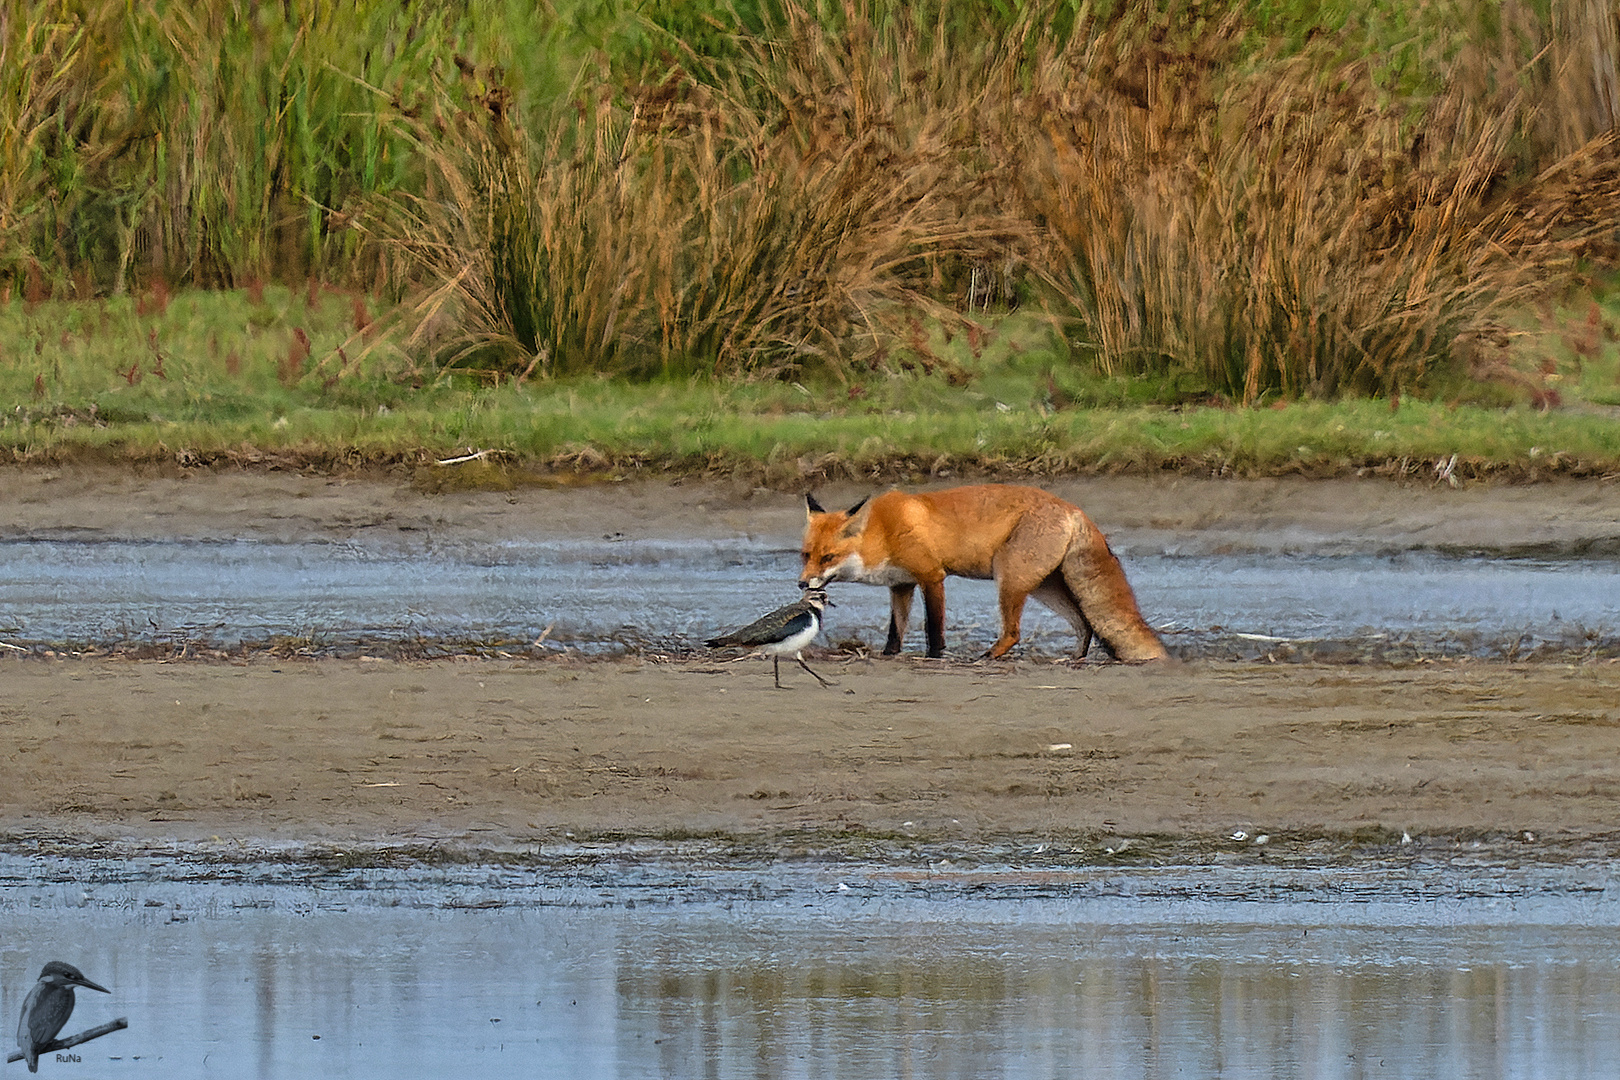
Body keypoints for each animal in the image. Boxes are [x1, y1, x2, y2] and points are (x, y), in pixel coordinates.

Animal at [797, 485, 1166, 663]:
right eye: (806, 555)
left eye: (828, 557)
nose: (801, 583)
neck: (884, 531)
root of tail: (1073, 508)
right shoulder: (901, 585)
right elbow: (895, 632)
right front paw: (889, 655)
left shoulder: (931, 576)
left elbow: (934, 628)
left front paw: (934, 657)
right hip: (1044, 588)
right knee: (1085, 623)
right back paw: (1074, 658)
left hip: (1009, 580)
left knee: (1014, 632)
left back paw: (987, 657)